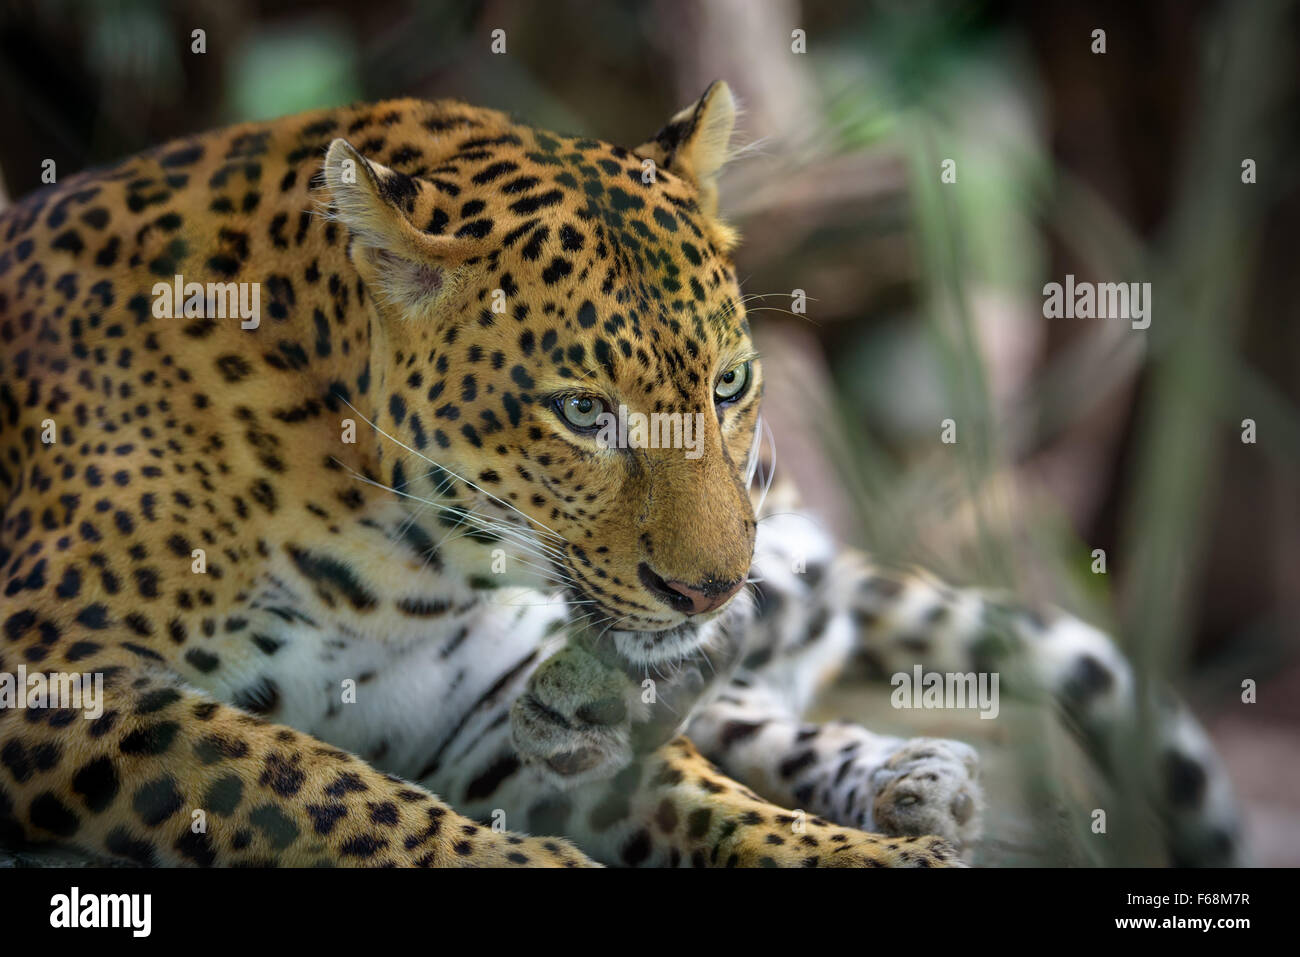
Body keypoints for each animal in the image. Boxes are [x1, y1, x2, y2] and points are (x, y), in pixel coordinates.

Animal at [0, 82, 1237, 868]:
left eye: (729, 385)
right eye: (582, 413)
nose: (709, 585)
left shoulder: (472, 707)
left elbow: (706, 799)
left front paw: (860, 853)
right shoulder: (55, 675)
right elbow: (330, 795)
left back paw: (909, 777)